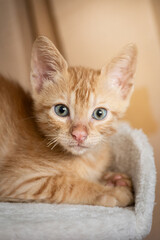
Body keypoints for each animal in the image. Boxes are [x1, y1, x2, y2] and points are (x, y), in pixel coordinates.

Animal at [0, 36, 137, 207]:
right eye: (61, 110)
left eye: (99, 113)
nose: (79, 135)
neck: (87, 160)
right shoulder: (16, 180)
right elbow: (66, 184)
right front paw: (110, 191)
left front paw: (114, 178)